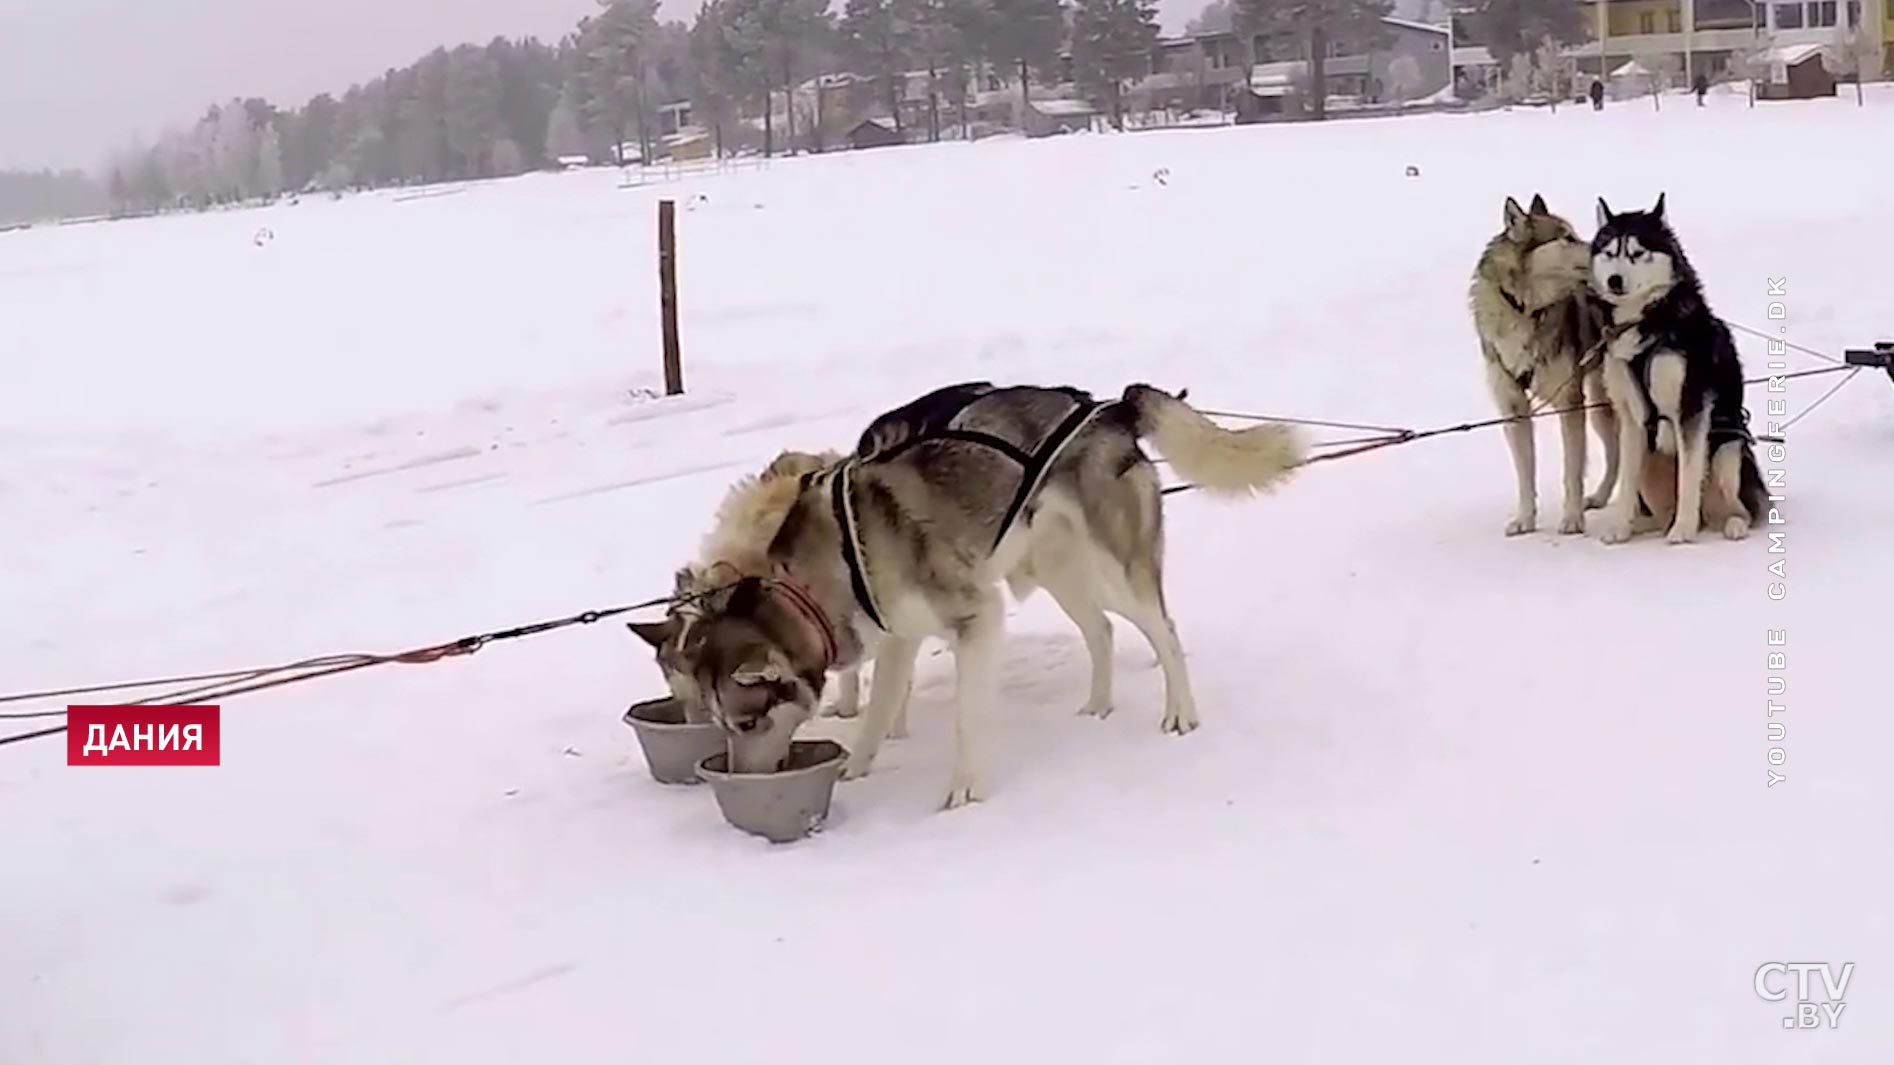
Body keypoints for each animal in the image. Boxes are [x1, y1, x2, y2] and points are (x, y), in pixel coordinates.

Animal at [666, 380, 1303, 803]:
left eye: (746, 724)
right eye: (720, 724)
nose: (734, 777)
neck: (820, 573)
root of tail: (1111, 410)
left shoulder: (976, 620)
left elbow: (965, 719)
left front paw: (965, 789)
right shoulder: (898, 639)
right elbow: (877, 714)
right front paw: (855, 770)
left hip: (1118, 571)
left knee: (1163, 631)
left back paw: (1180, 712)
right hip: (1061, 574)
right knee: (1100, 629)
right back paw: (1097, 705)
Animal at [1469, 192, 1621, 530]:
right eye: (1566, 237)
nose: (1599, 249)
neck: (1524, 310)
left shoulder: (1569, 402)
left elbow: (1572, 470)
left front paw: (1572, 518)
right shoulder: (1513, 408)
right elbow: (1525, 474)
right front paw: (1525, 519)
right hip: (1599, 408)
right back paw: (1601, 496)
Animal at [1590, 190, 1765, 541]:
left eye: (1637, 253)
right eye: (1609, 253)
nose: (1615, 280)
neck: (1648, 322)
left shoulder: (1690, 407)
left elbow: (1688, 476)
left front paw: (1683, 530)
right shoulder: (1630, 419)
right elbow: (1626, 484)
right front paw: (1620, 528)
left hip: (1727, 453)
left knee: (1743, 507)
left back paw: (1731, 524)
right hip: (1650, 463)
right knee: (1656, 507)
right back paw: (1647, 524)